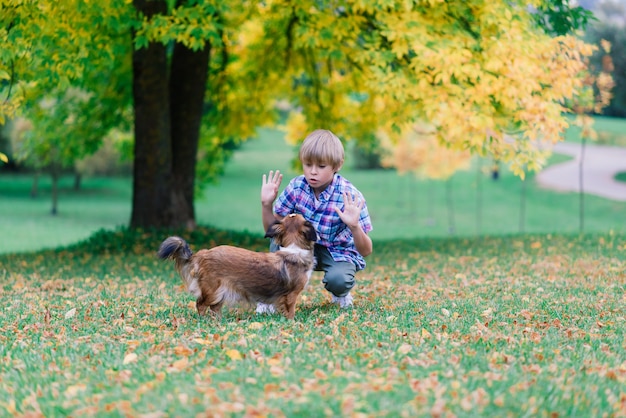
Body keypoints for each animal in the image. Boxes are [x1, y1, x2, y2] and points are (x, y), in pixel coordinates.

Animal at [157, 214, 316, 318]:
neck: (294, 250)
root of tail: (203, 254)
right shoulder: (291, 295)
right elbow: (290, 311)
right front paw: (292, 322)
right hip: (213, 290)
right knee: (200, 304)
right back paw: (204, 320)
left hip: (221, 292)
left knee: (214, 308)